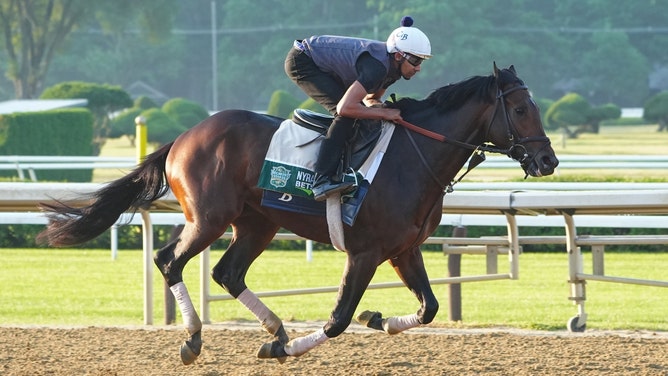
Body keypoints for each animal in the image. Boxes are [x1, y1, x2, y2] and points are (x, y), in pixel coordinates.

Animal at [36, 64, 560, 364]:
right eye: (519, 108)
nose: (548, 160)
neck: (415, 157)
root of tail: (184, 136)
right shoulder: (364, 252)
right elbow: (338, 318)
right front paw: (286, 349)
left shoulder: (404, 250)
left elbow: (428, 308)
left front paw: (379, 319)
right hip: (209, 218)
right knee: (170, 260)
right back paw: (195, 339)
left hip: (258, 223)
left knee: (227, 273)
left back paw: (272, 326)